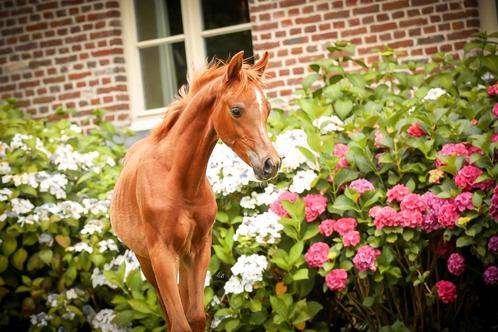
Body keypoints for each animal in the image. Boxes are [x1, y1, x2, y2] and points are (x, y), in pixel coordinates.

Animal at [111, 50, 280, 330]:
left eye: (267, 110)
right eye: (236, 110)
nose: (271, 164)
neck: (179, 183)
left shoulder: (200, 248)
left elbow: (196, 317)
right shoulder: (161, 256)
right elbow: (179, 323)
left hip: (182, 259)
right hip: (147, 261)